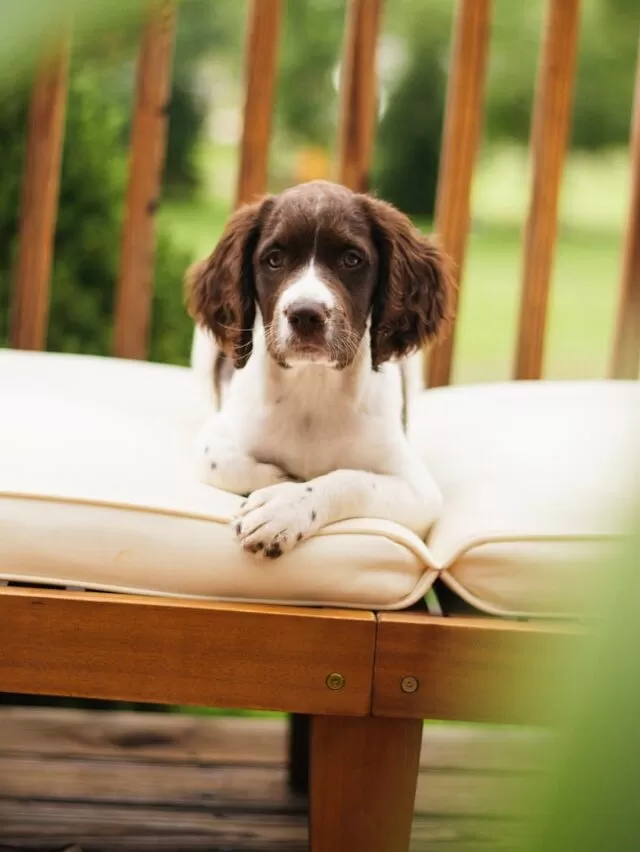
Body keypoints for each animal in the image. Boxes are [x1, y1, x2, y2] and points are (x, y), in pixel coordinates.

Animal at [188, 178, 452, 560]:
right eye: (274, 260)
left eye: (351, 259)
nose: (305, 315)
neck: (312, 383)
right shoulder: (212, 441)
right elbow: (221, 463)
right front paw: (284, 481)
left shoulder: (418, 491)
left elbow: (351, 480)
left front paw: (282, 508)